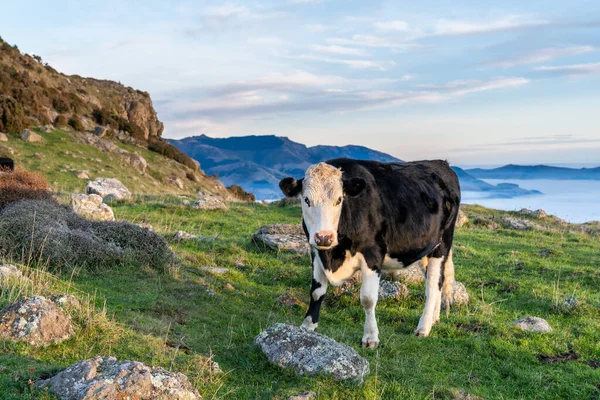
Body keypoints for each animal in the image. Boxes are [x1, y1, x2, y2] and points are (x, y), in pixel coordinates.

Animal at [278, 158, 462, 346]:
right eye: (306, 200)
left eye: (339, 199)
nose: (324, 237)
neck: (334, 256)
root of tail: (441, 163)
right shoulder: (316, 253)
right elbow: (316, 292)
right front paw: (307, 326)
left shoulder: (373, 254)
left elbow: (368, 298)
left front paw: (371, 337)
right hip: (425, 249)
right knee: (438, 282)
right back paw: (434, 319)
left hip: (442, 245)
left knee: (433, 285)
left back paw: (424, 328)